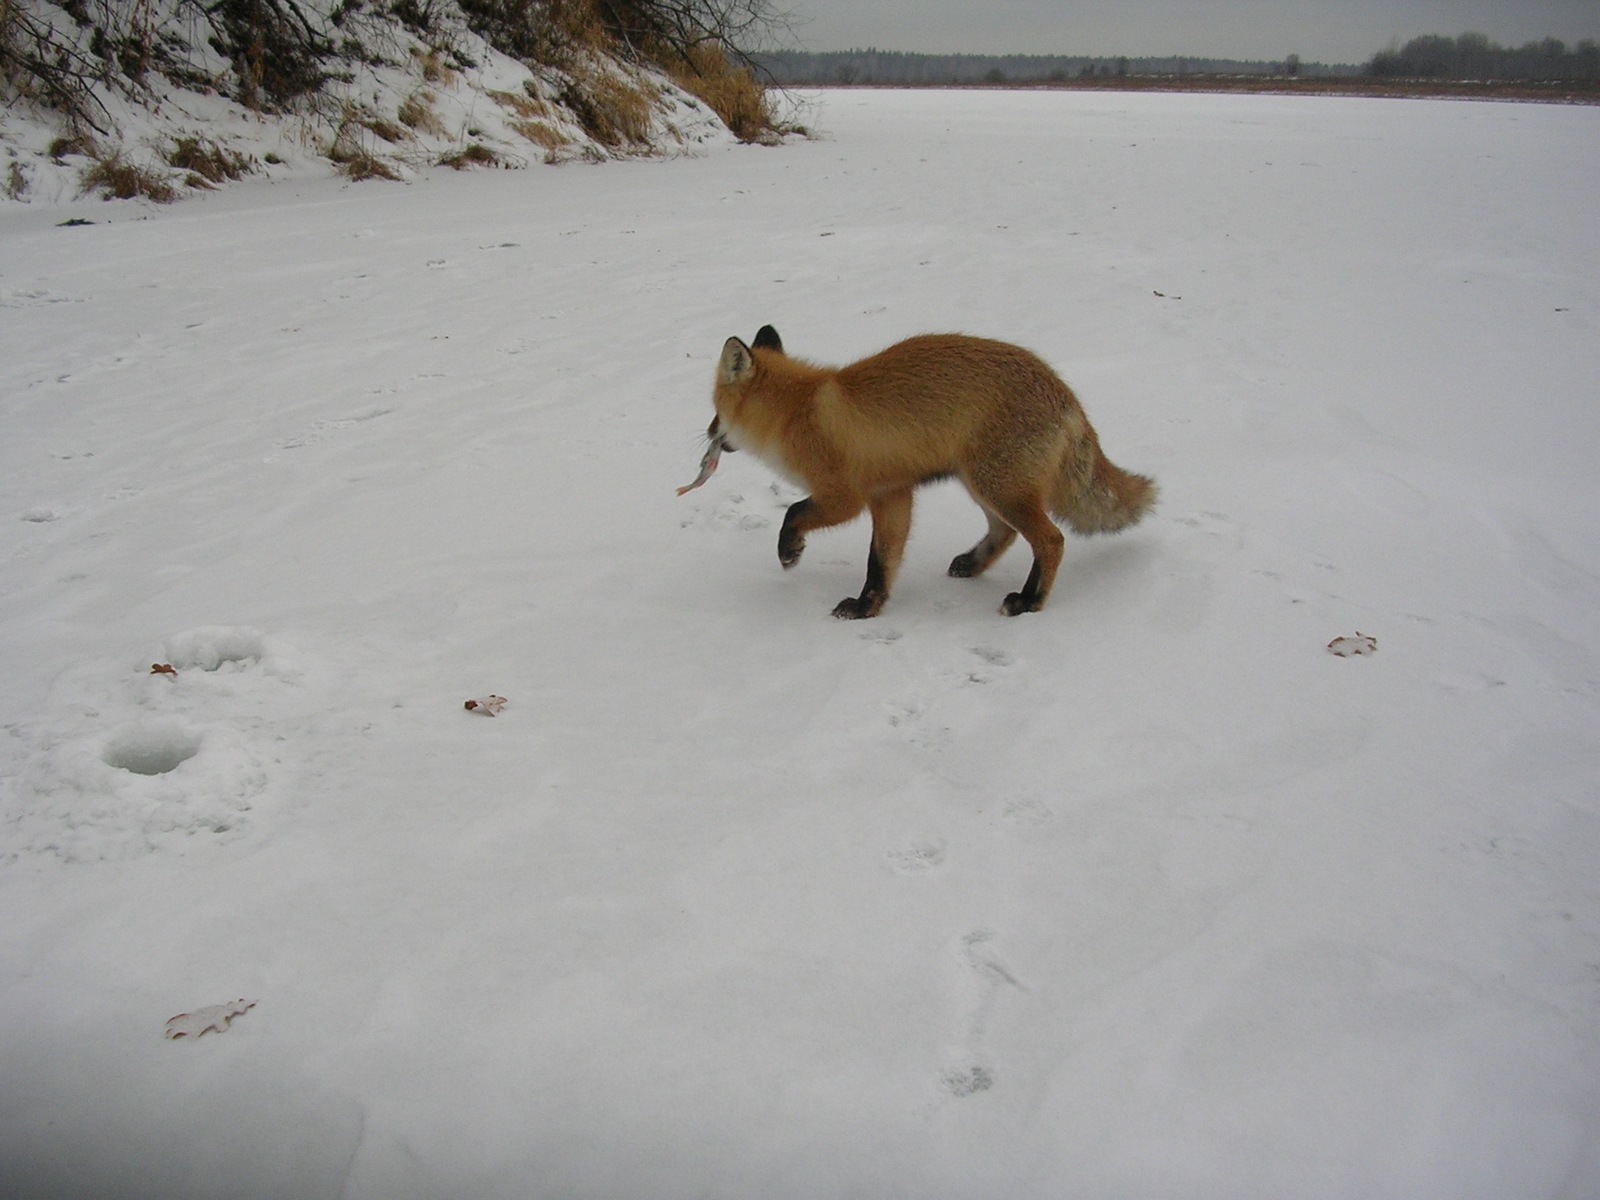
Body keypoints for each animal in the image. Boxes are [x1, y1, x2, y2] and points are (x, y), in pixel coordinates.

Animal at [707, 329, 1158, 620]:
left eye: (715, 411)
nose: (708, 434)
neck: (797, 411)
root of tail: (1067, 395)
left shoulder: (845, 496)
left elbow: (793, 514)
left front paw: (790, 550)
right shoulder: (891, 493)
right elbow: (881, 562)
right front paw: (867, 607)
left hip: (997, 487)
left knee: (1052, 540)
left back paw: (1029, 602)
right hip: (982, 484)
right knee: (1006, 532)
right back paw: (973, 564)